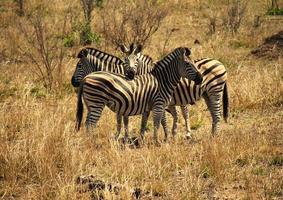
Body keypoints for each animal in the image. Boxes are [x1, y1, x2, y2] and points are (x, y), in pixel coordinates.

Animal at [75, 47, 204, 143]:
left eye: (192, 63)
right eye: (187, 64)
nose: (201, 78)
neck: (162, 80)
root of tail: (87, 77)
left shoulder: (147, 107)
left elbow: (143, 124)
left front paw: (140, 141)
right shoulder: (158, 105)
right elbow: (157, 124)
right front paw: (157, 142)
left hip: (91, 104)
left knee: (87, 123)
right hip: (96, 103)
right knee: (90, 124)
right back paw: (92, 143)